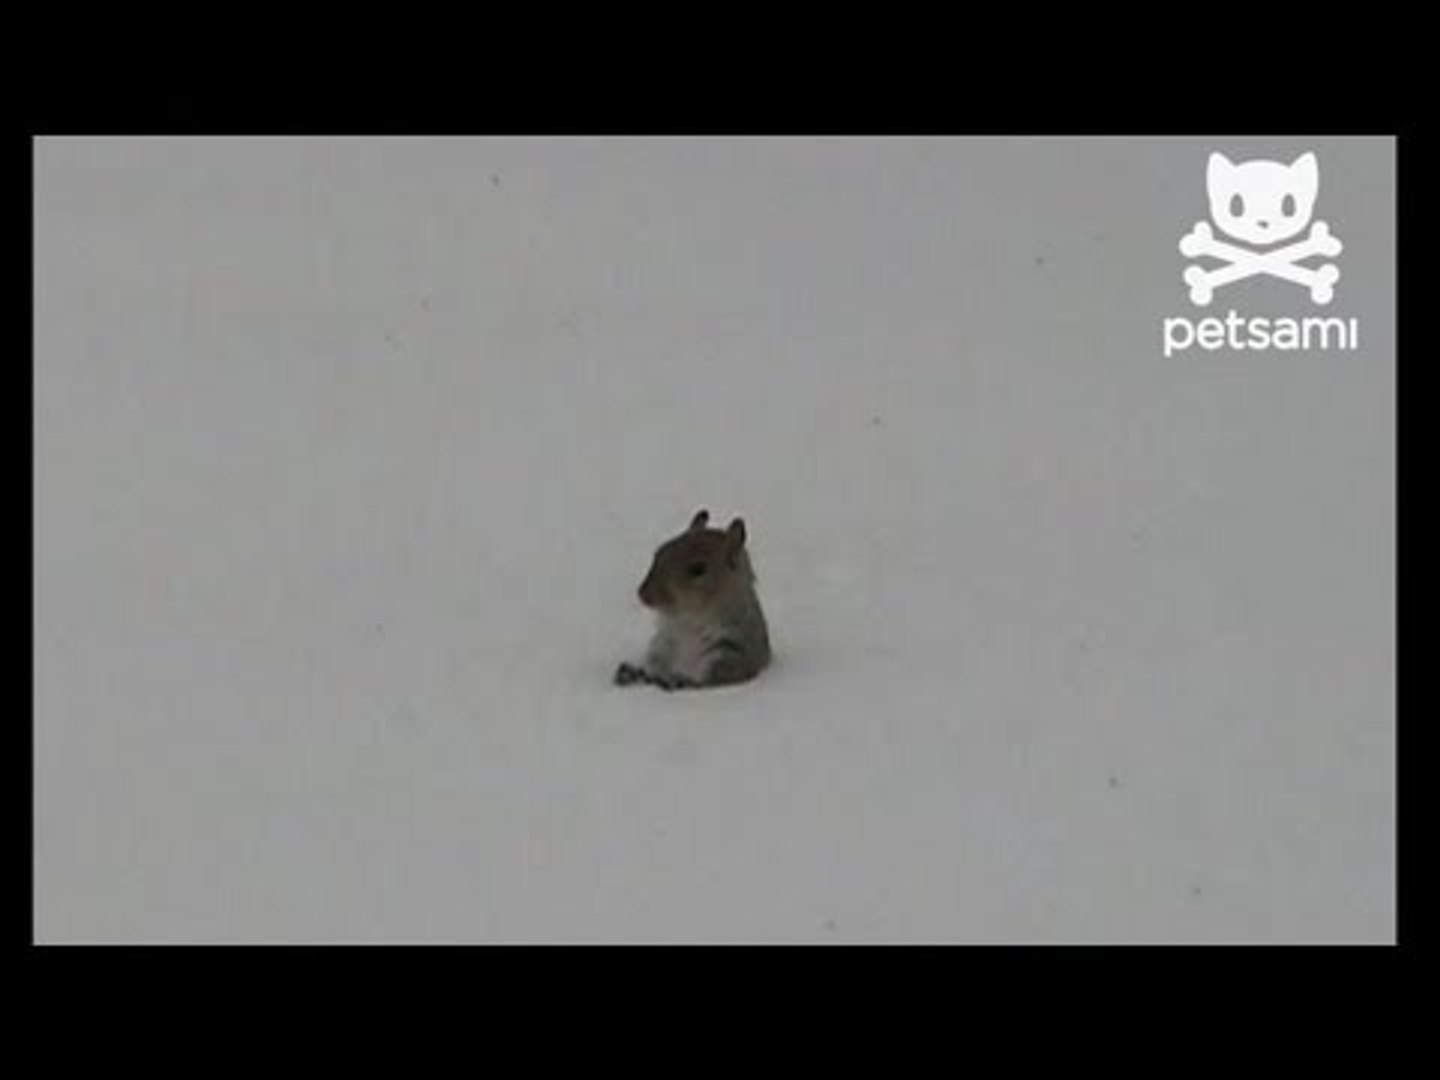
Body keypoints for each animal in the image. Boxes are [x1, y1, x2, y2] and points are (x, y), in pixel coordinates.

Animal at [614, 509, 772, 691]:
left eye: (698, 569)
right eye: (660, 551)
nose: (643, 594)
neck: (687, 622)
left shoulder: (732, 654)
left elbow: (709, 680)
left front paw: (679, 680)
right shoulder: (663, 646)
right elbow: (655, 664)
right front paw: (634, 673)